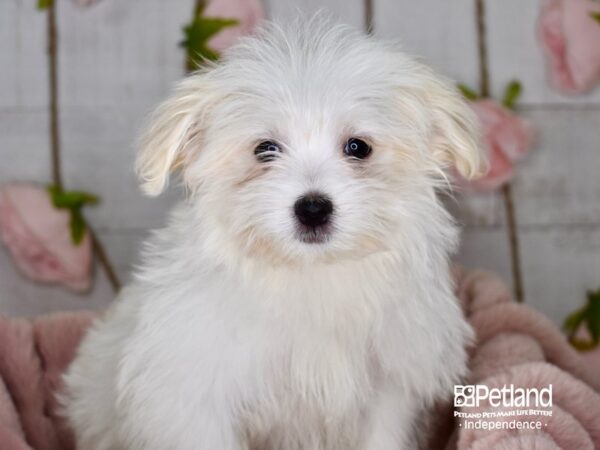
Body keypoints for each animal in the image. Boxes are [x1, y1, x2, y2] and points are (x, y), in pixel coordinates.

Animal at [62, 15, 478, 448]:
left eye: (358, 147)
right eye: (265, 149)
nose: (313, 208)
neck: (312, 274)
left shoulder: (392, 386)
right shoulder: (196, 396)